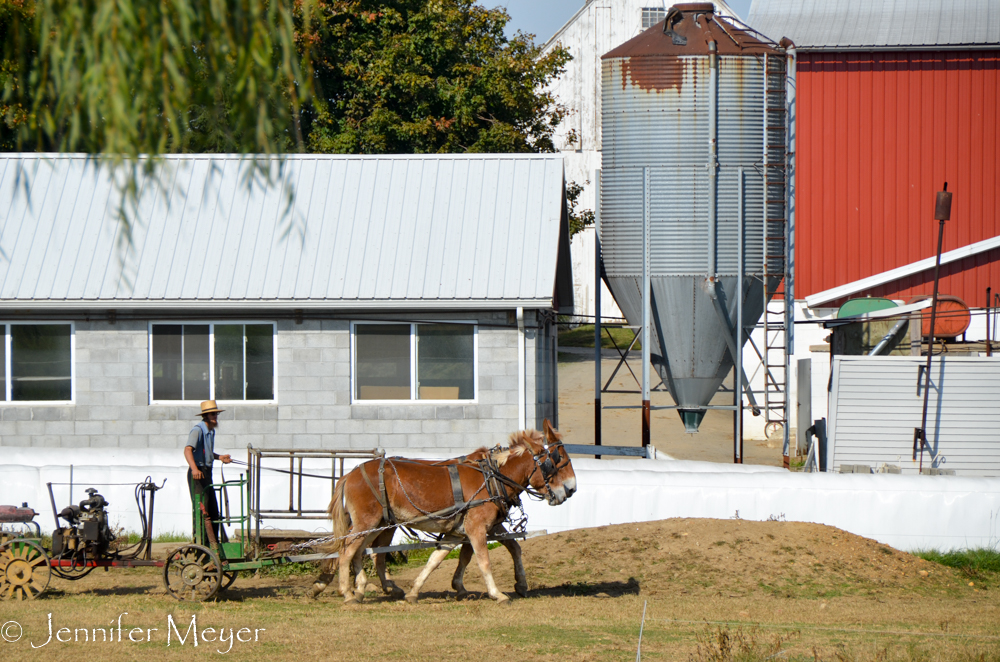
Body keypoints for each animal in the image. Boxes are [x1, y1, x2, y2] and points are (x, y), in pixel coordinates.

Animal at [312, 422, 580, 604]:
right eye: (556, 459)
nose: (571, 489)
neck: (493, 476)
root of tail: (351, 474)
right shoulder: (476, 528)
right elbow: (483, 560)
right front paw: (496, 593)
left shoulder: (462, 530)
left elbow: (439, 558)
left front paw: (417, 591)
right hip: (367, 522)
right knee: (348, 551)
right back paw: (347, 592)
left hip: (376, 523)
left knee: (361, 551)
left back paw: (363, 588)